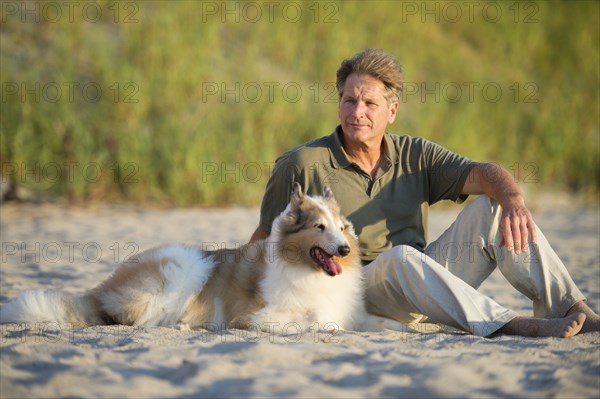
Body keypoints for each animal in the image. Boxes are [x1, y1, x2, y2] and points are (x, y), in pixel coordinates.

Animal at [0, 184, 408, 334]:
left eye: (341, 227)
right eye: (319, 227)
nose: (345, 250)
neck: (308, 272)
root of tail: (100, 290)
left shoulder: (355, 311)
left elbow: (383, 322)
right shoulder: (255, 316)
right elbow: (318, 319)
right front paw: (329, 327)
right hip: (184, 266)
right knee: (135, 317)